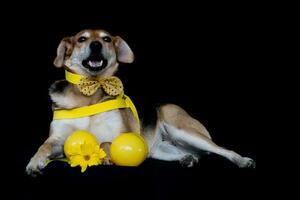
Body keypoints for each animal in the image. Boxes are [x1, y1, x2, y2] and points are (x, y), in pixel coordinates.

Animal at [25, 29, 255, 175]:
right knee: (193, 153)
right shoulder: (58, 139)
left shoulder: (124, 133)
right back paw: (189, 159)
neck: (88, 94)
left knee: (221, 150)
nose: (96, 44)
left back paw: (243, 160)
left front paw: (106, 156)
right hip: (160, 150)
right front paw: (35, 162)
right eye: (82, 39)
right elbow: (44, 146)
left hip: (182, 128)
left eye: (106, 39)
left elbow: (107, 142)